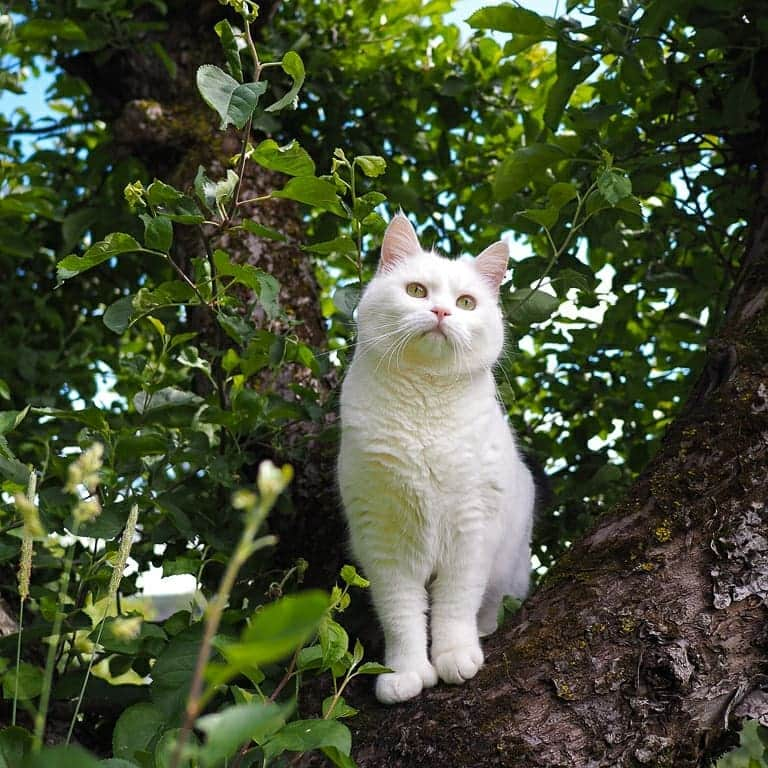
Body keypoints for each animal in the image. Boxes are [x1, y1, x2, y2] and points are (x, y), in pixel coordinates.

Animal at [338, 213, 536, 704]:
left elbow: (454, 605)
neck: (424, 403)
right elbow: (402, 616)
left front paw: (454, 656)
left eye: (465, 302)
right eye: (416, 291)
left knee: (487, 607)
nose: (442, 313)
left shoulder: (472, 529)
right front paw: (405, 673)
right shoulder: (382, 540)